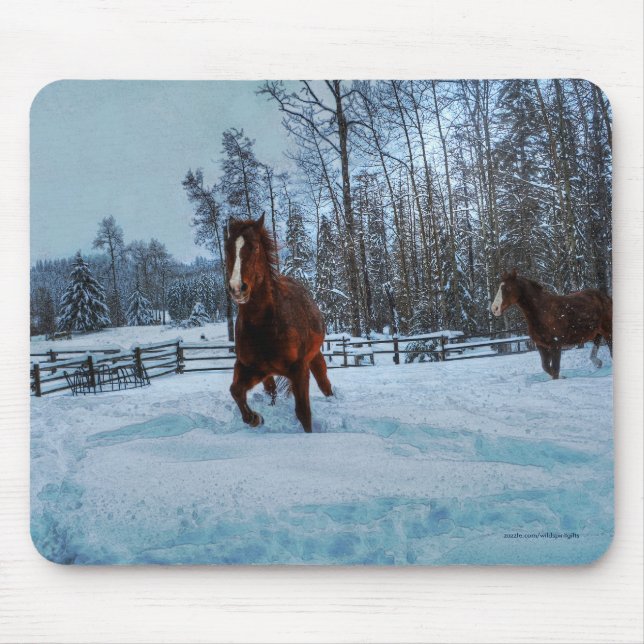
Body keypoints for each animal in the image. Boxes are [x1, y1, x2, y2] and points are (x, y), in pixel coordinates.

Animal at [225, 213, 333, 432]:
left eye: (255, 247)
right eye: (228, 248)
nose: (237, 288)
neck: (266, 326)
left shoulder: (299, 369)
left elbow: (304, 413)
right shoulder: (250, 367)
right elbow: (236, 390)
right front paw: (255, 418)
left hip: (315, 357)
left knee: (325, 384)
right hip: (267, 375)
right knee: (271, 391)